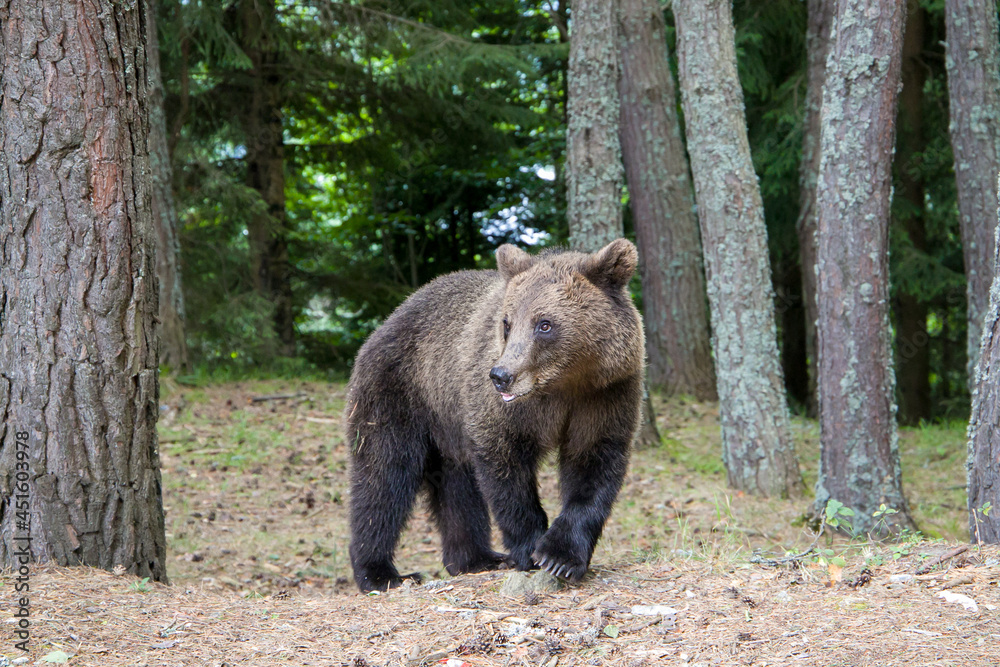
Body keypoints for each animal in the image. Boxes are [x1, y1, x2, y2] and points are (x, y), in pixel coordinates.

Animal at [346, 237, 640, 592]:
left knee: (457, 488)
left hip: (448, 424)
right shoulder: (503, 411)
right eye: (507, 322)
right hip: (400, 391)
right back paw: (380, 572)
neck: (562, 384)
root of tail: (387, 321)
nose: (502, 375)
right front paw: (530, 549)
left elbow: (594, 467)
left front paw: (561, 557)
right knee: (384, 474)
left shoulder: (604, 396)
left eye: (544, 324)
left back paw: (476, 558)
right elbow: (505, 470)